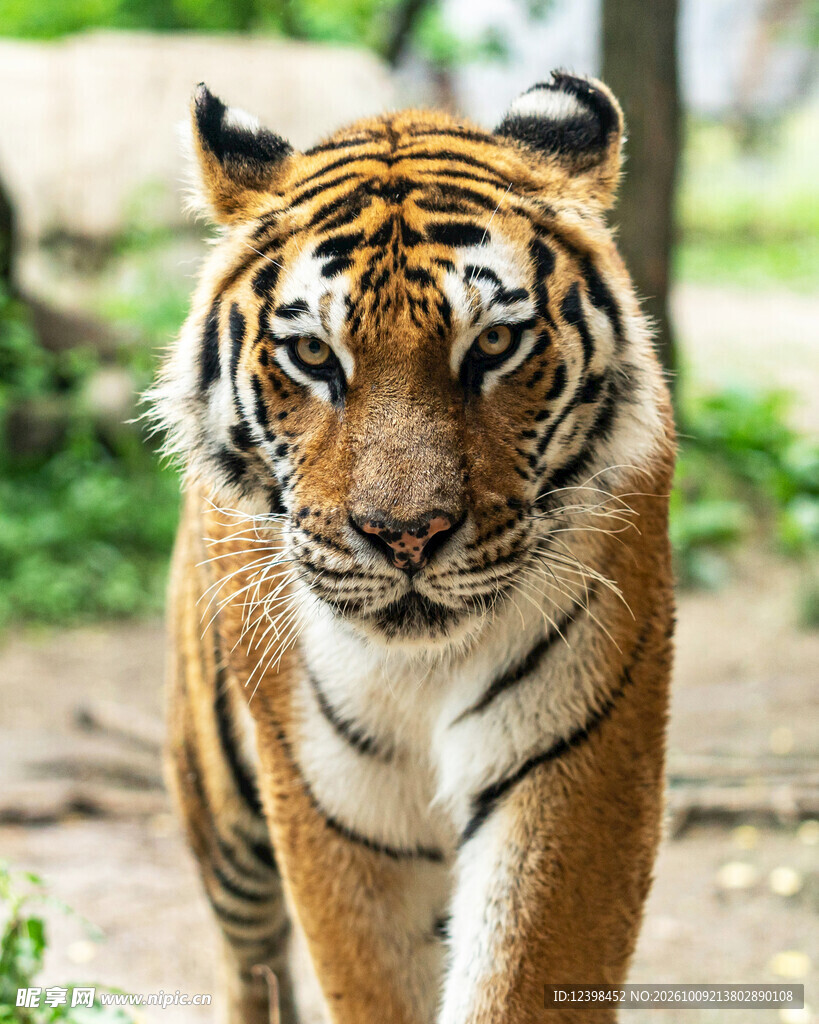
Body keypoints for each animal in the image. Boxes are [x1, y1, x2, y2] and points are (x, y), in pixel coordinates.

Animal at [149, 70, 676, 1024]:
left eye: (494, 343)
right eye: (313, 354)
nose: (406, 536)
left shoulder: (572, 759)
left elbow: (523, 973)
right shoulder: (331, 800)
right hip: (220, 799)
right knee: (248, 956)